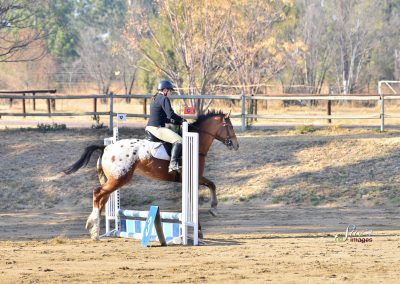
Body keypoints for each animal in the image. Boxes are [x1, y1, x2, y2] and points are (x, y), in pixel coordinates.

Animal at [62, 110, 238, 240]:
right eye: (229, 126)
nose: (236, 145)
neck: (194, 143)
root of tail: (106, 147)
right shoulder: (193, 178)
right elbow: (209, 187)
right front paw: (211, 212)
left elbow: (206, 189)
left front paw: (205, 221)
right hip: (119, 179)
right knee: (97, 193)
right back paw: (94, 228)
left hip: (113, 180)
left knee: (102, 198)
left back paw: (95, 229)